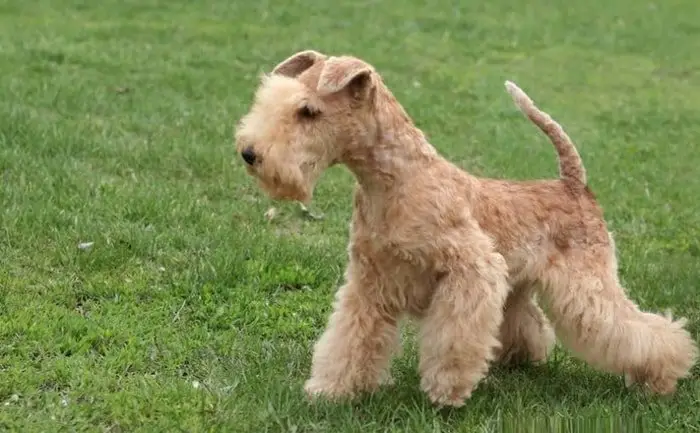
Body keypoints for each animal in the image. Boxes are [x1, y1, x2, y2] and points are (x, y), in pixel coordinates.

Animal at [234, 49, 696, 404]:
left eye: (308, 110)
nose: (250, 153)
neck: (395, 181)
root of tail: (573, 184)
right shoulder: (369, 281)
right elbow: (350, 338)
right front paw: (331, 389)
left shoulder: (471, 269)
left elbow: (452, 336)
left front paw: (446, 391)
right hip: (518, 286)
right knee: (529, 323)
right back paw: (519, 359)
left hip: (586, 284)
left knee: (643, 329)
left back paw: (661, 377)